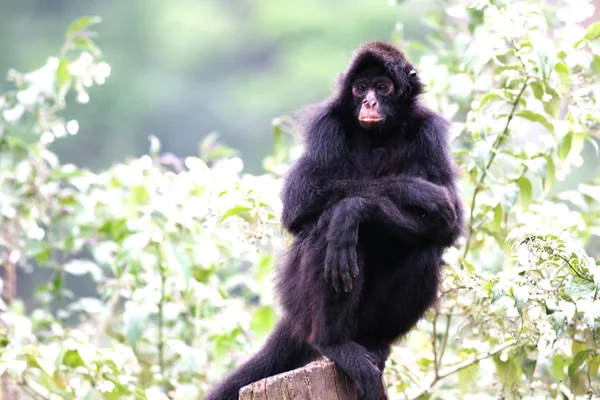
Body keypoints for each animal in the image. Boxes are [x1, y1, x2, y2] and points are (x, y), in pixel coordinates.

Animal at [203, 41, 464, 400]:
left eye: (382, 87)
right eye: (360, 89)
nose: (368, 102)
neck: (378, 136)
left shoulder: (430, 130)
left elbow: (451, 224)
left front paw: (360, 209)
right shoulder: (325, 124)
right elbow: (299, 204)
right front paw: (408, 191)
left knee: (424, 250)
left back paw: (375, 343)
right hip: (300, 299)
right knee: (327, 231)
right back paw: (333, 342)